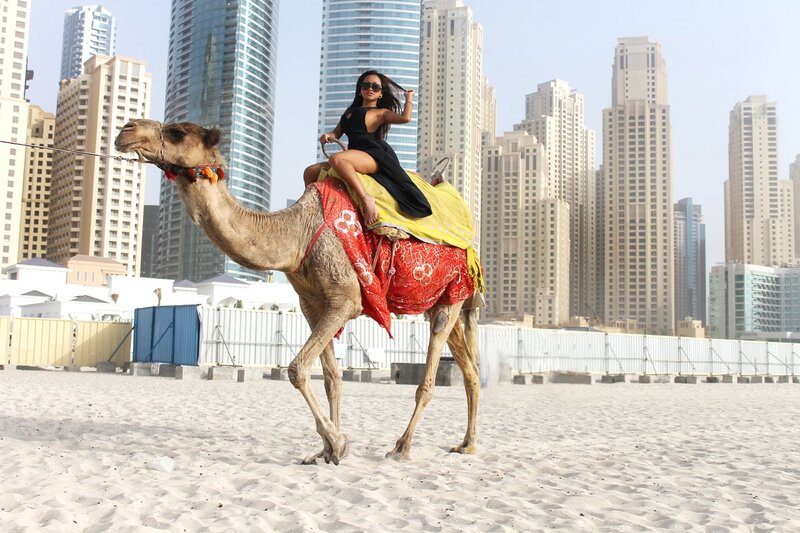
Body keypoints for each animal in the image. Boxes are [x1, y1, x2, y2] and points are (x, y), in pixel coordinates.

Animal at [115, 119, 481, 464]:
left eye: (177, 132)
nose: (126, 130)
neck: (296, 235)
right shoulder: (312, 304)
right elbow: (332, 379)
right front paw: (326, 452)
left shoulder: (345, 297)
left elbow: (296, 369)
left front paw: (337, 442)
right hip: (440, 300)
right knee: (470, 368)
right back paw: (467, 444)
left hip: (453, 292)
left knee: (431, 375)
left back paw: (402, 448)